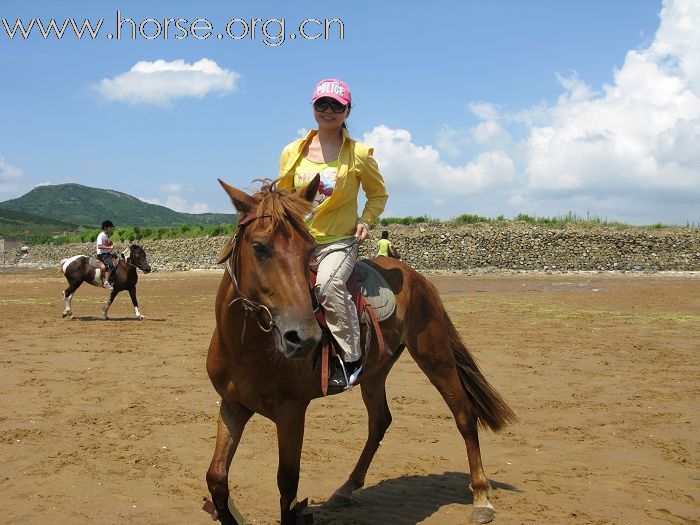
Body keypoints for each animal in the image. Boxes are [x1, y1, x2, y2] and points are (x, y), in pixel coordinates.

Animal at [205, 177, 516, 524]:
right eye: (259, 247)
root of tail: (416, 277)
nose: (304, 337)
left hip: (435, 355)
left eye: (309, 250)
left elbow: (287, 487)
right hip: (375, 371)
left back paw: (481, 497)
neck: (245, 350)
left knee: (464, 414)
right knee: (380, 420)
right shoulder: (232, 405)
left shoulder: (291, 412)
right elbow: (216, 479)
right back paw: (346, 488)